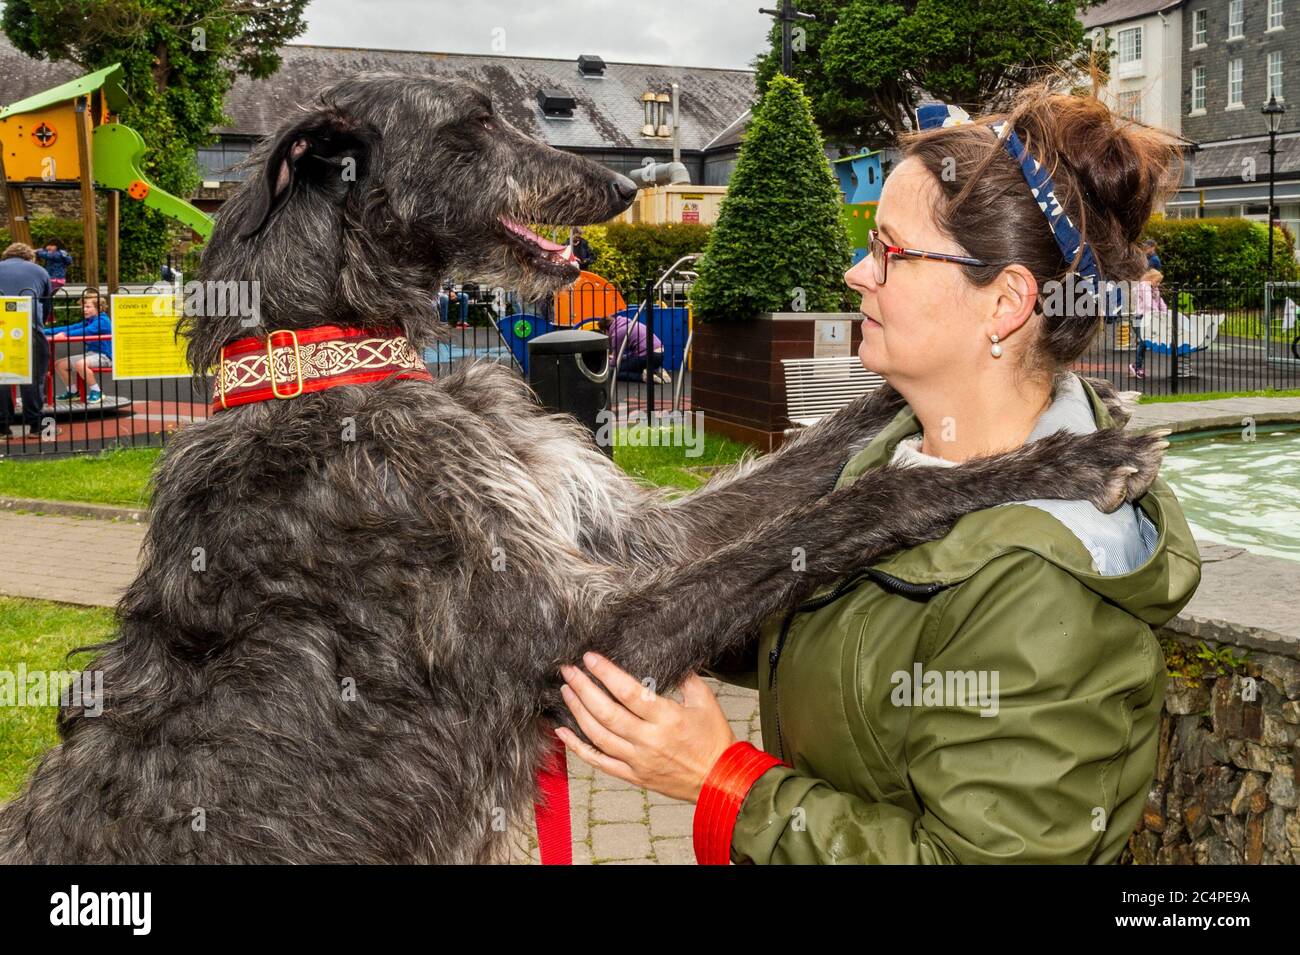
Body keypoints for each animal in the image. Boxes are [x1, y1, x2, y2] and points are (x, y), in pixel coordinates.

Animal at [0, 74, 1164, 867]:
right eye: (472, 127)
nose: (627, 179)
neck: (332, 360)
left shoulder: (624, 535)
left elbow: (816, 464)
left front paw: (964, 398)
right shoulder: (580, 639)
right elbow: (856, 506)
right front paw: (1072, 455)